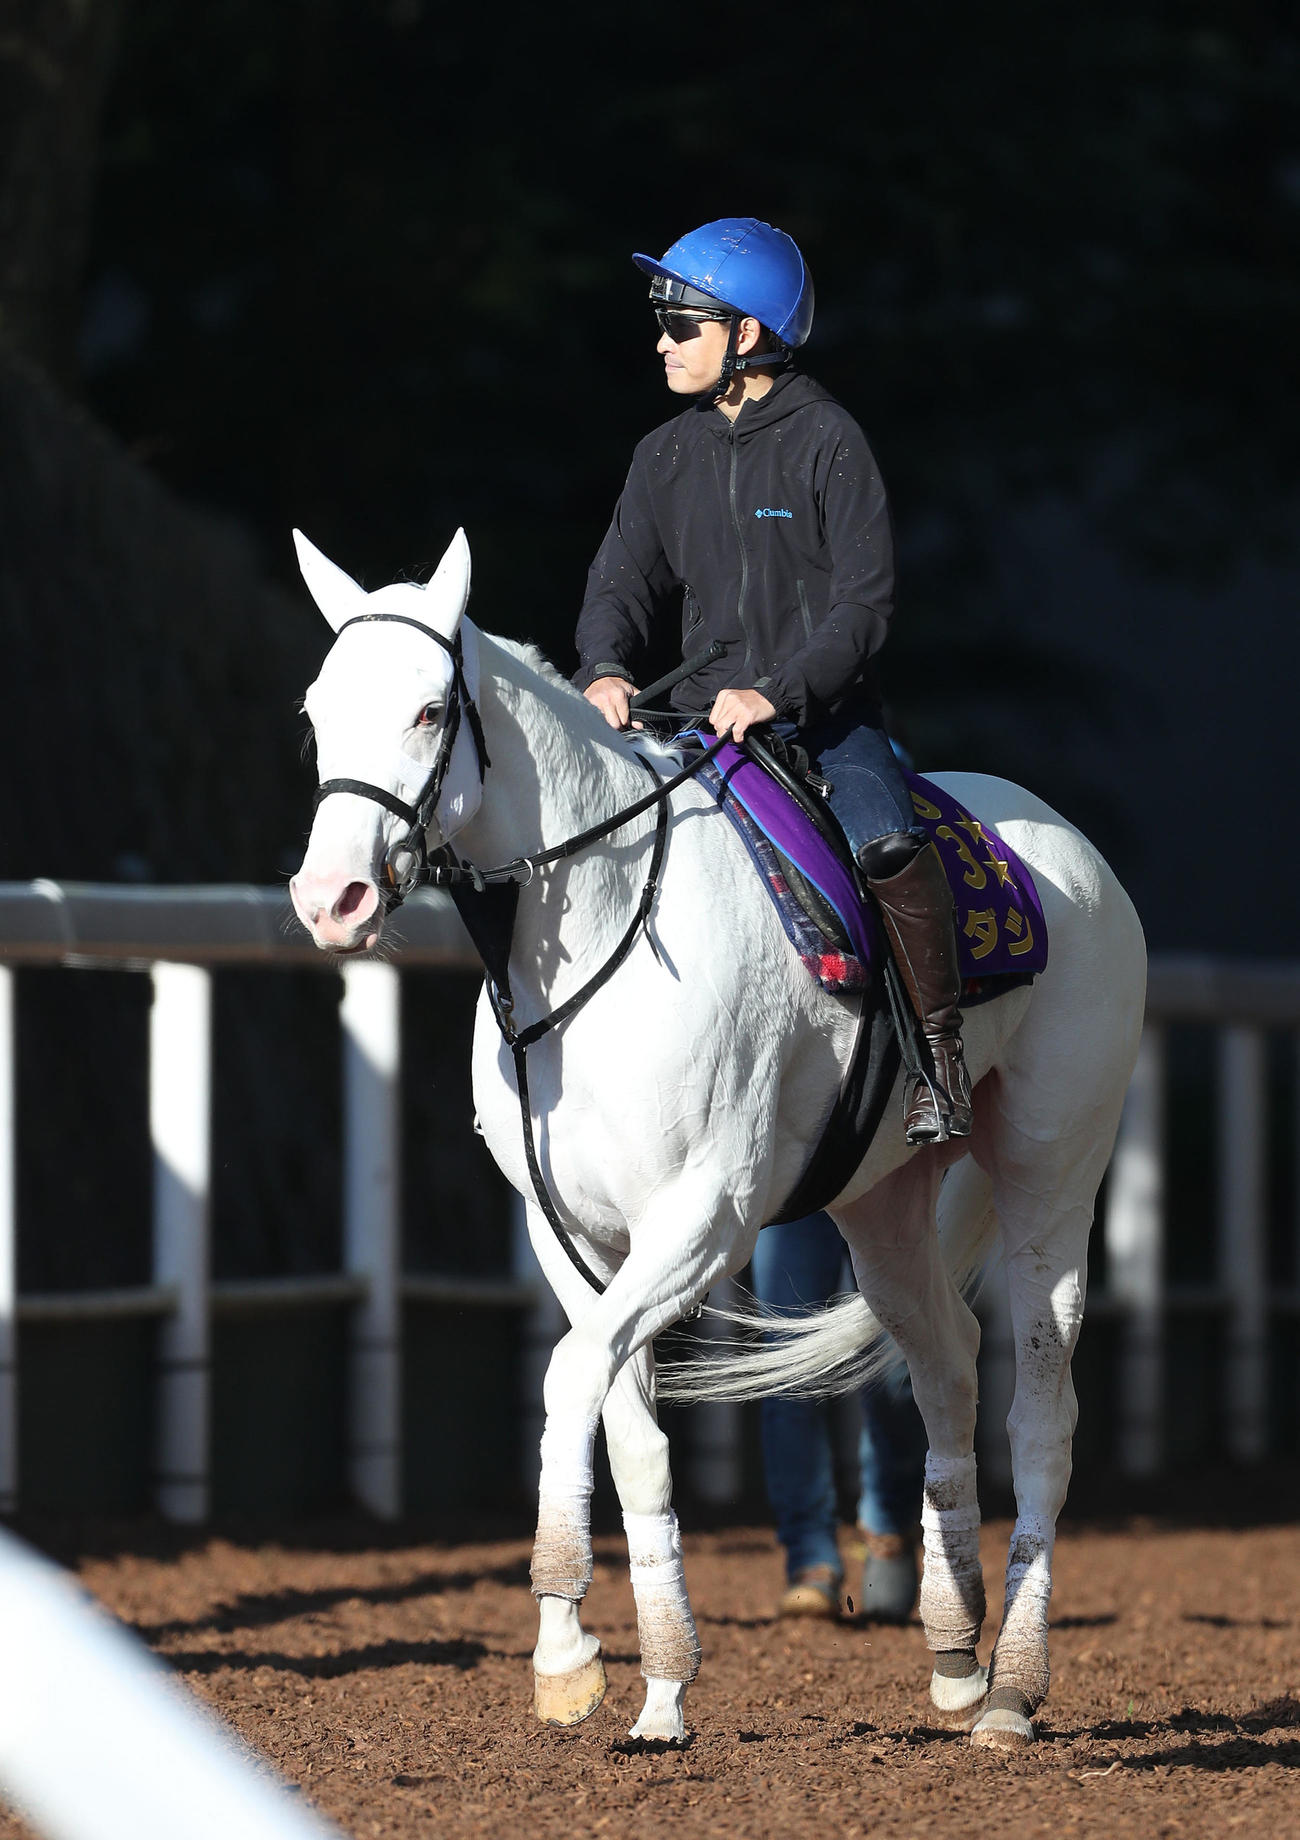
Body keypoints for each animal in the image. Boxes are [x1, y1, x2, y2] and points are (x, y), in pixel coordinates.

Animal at [288, 527, 1146, 1752]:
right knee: (944, 1369)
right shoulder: (577, 1239)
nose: (333, 898)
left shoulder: (703, 1220)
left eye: (425, 710)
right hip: (882, 1211)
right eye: (318, 710)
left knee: (1040, 1414)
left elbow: (568, 1378)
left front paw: (565, 1649)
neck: (600, 929)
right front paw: (651, 1685)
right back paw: (951, 1654)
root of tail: (1069, 850)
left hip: (1049, 1189)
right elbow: (627, 1423)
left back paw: (1013, 1692)